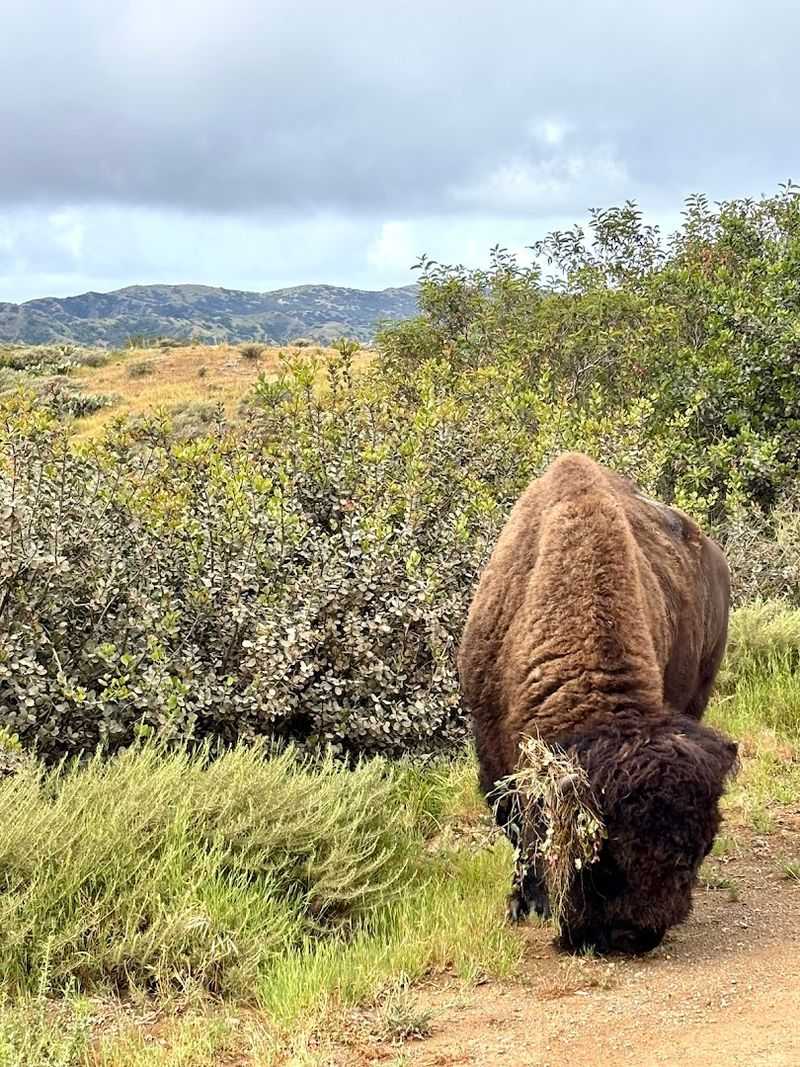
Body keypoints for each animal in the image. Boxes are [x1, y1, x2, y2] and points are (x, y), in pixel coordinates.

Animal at [458, 453, 737, 954]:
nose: (634, 935)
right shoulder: (493, 753)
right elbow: (518, 828)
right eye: (602, 856)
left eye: (700, 851)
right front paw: (524, 904)